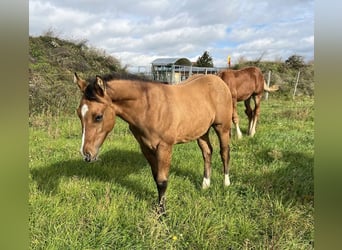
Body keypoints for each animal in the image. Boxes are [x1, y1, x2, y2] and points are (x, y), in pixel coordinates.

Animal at [72, 72, 232, 213]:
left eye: (98, 116)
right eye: (79, 114)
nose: (86, 154)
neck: (149, 108)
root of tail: (219, 80)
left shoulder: (164, 147)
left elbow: (162, 181)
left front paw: (162, 212)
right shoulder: (146, 147)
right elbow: (156, 178)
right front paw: (159, 207)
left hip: (222, 128)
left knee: (224, 152)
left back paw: (226, 183)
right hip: (202, 131)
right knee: (207, 152)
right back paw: (205, 185)